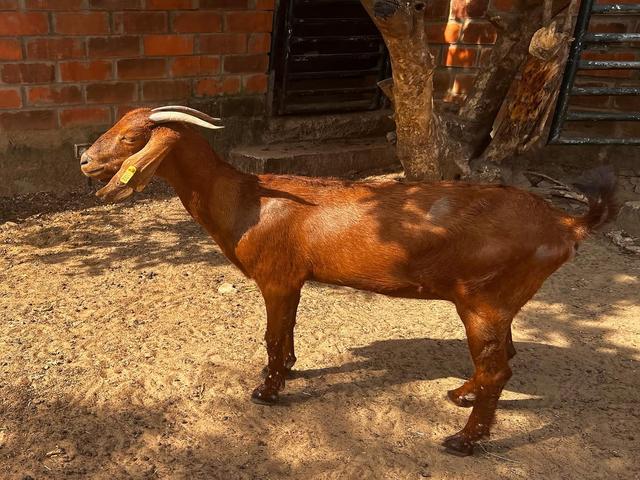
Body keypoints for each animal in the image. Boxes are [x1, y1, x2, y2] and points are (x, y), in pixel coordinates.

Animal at [80, 106, 617, 456]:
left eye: (131, 138)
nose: (85, 160)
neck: (249, 199)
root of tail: (566, 224)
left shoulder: (275, 278)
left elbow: (272, 336)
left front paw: (268, 391)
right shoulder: (294, 281)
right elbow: (288, 332)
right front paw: (290, 370)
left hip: (483, 301)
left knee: (499, 369)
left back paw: (464, 441)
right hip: (499, 303)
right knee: (503, 358)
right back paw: (461, 395)